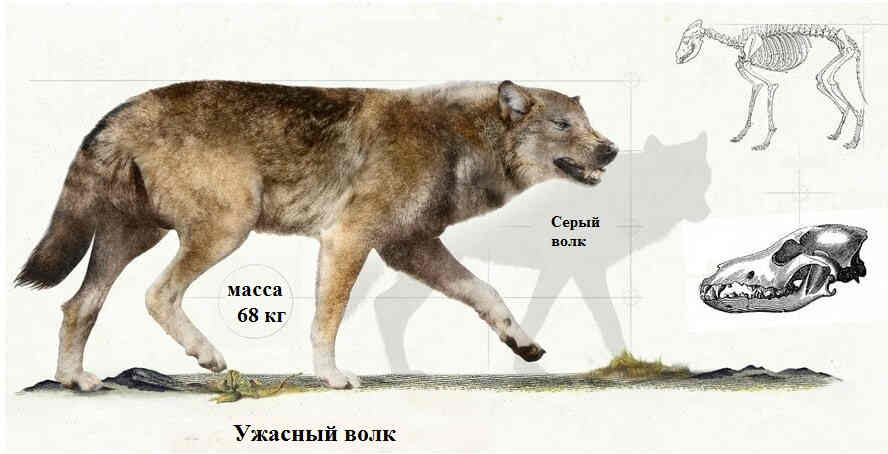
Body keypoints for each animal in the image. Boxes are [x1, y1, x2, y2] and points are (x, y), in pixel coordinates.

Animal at [15, 80, 618, 390]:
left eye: (590, 125)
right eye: (564, 126)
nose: (611, 149)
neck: (460, 139)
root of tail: (123, 108)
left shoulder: (409, 247)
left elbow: (486, 293)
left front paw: (524, 344)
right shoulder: (348, 239)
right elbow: (328, 320)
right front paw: (330, 376)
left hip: (134, 239)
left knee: (78, 305)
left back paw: (74, 380)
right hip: (224, 230)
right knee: (155, 295)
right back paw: (207, 356)